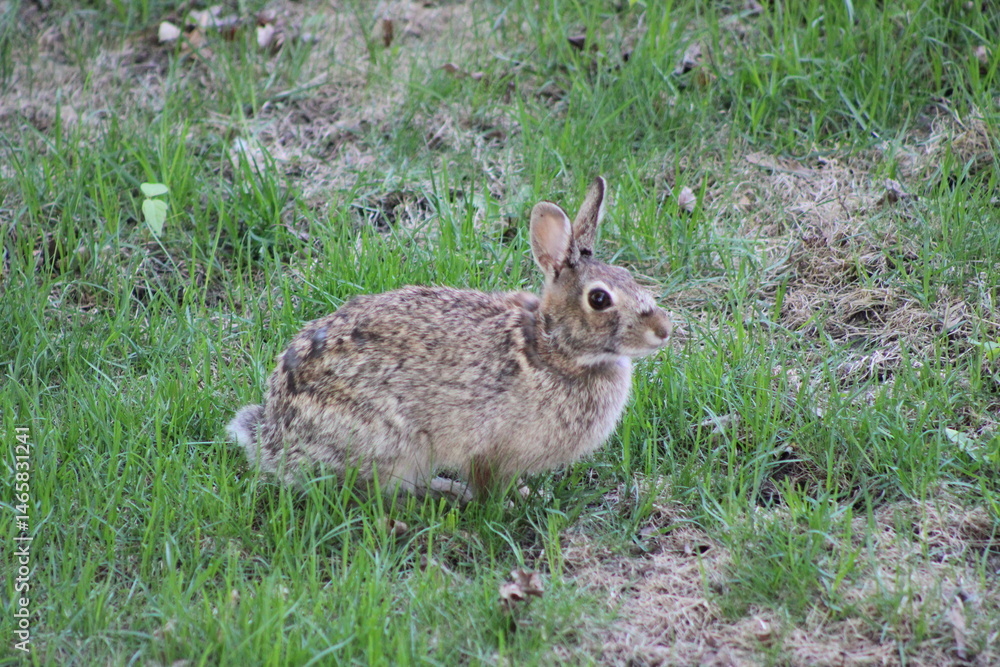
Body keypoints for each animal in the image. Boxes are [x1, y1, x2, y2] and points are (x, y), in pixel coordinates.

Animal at [228, 177, 672, 501]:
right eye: (599, 299)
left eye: (628, 276)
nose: (662, 330)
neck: (553, 349)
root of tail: (274, 436)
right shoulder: (492, 448)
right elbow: (488, 483)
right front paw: (517, 500)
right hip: (389, 443)